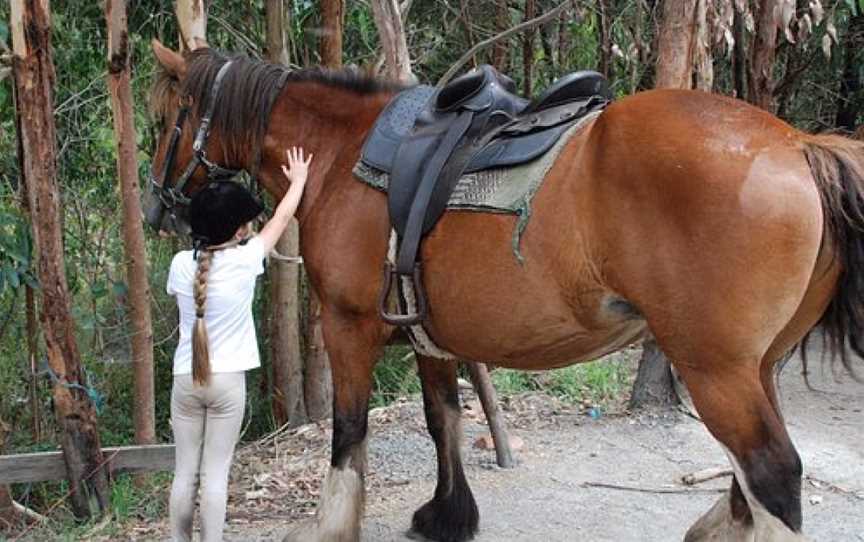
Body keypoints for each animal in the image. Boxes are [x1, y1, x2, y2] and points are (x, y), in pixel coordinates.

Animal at [145, 40, 864, 540]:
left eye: (165, 118)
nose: (155, 207)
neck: (340, 154)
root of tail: (800, 144)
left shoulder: (346, 324)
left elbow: (350, 431)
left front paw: (334, 523)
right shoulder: (424, 332)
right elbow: (443, 420)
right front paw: (447, 515)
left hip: (715, 367)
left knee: (771, 470)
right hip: (757, 365)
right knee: (753, 474)